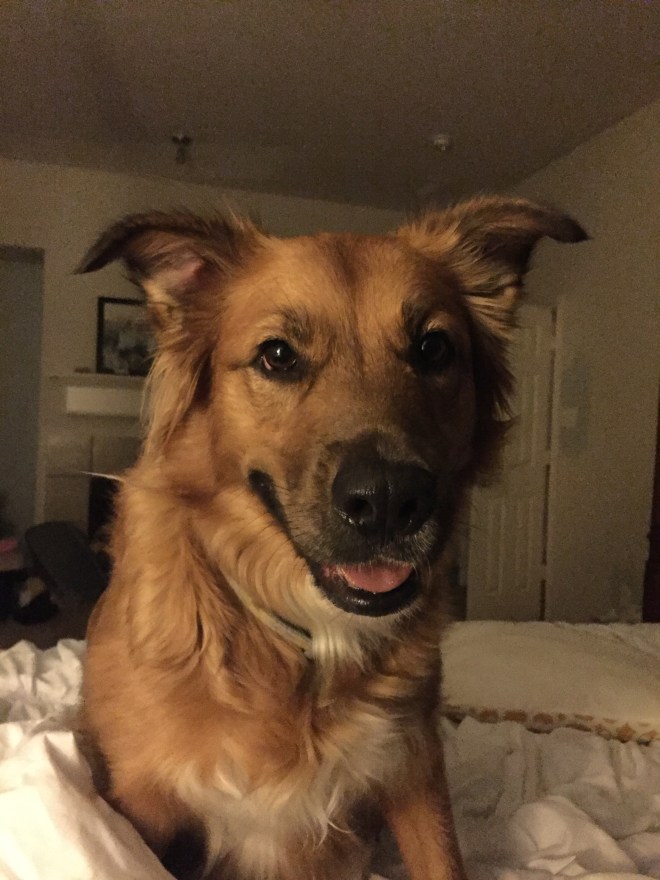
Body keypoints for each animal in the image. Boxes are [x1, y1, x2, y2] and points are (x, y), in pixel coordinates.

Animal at [77, 196, 586, 880]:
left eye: (433, 348)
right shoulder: (142, 803)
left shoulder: (413, 764)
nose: (389, 501)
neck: (310, 641)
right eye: (277, 356)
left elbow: (443, 859)